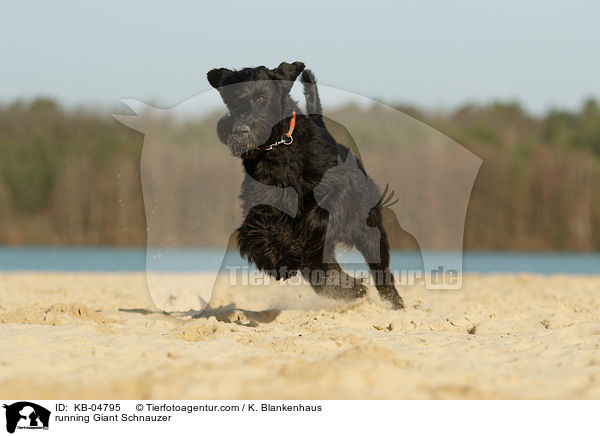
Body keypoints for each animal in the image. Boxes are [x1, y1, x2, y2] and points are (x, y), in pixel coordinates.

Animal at [206, 61, 404, 308]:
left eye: (261, 98)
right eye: (231, 100)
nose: (241, 131)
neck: (280, 146)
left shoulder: (338, 189)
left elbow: (317, 215)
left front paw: (297, 241)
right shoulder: (263, 200)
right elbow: (258, 227)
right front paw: (277, 257)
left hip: (368, 229)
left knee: (378, 268)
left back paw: (393, 303)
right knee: (321, 270)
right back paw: (351, 289)